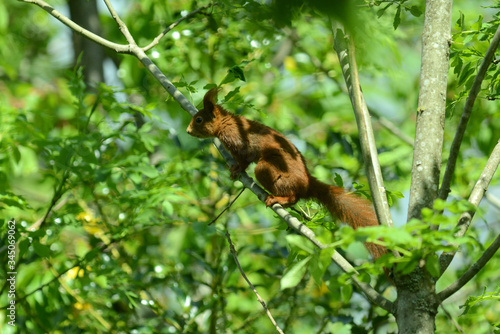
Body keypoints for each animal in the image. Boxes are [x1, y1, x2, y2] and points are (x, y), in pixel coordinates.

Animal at [188, 87, 386, 260]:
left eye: (198, 120)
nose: (188, 131)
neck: (226, 123)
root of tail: (308, 183)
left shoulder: (240, 142)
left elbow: (245, 159)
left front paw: (237, 169)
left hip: (270, 171)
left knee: (292, 195)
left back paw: (279, 199)